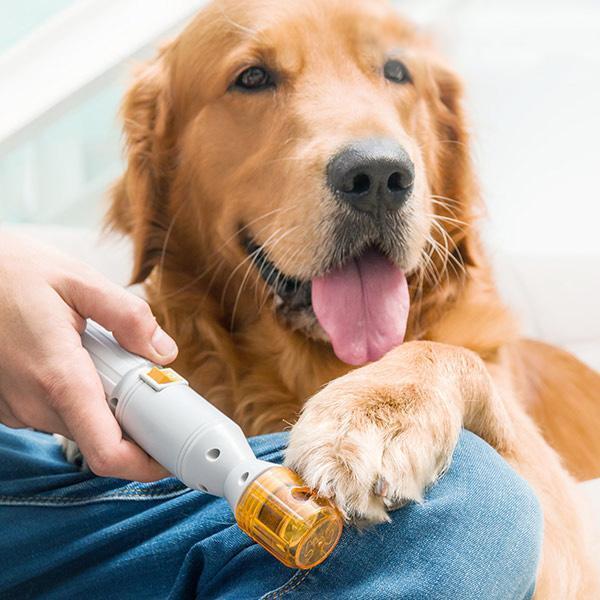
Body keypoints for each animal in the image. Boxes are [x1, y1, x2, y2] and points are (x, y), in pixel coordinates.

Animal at [109, 0, 600, 596]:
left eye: (396, 71)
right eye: (252, 77)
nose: (379, 175)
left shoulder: (570, 542)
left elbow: (444, 352)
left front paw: (371, 416)